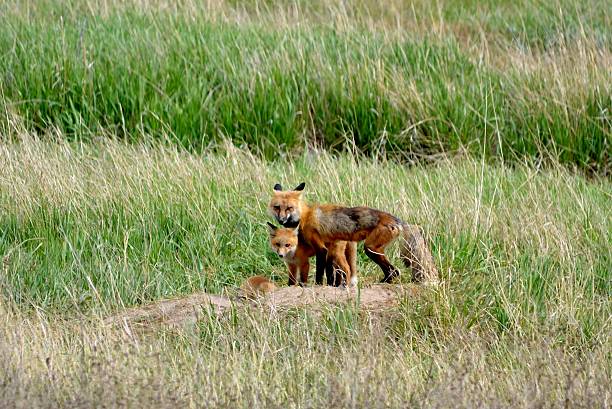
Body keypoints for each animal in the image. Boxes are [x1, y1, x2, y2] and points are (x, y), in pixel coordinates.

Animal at [270, 182, 438, 284]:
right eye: (277, 207)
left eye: (289, 208)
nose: (281, 220)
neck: (305, 216)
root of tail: (397, 220)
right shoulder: (329, 248)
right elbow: (330, 272)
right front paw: (331, 285)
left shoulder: (321, 248)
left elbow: (320, 272)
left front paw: (319, 285)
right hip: (373, 249)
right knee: (393, 271)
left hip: (370, 248)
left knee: (394, 271)